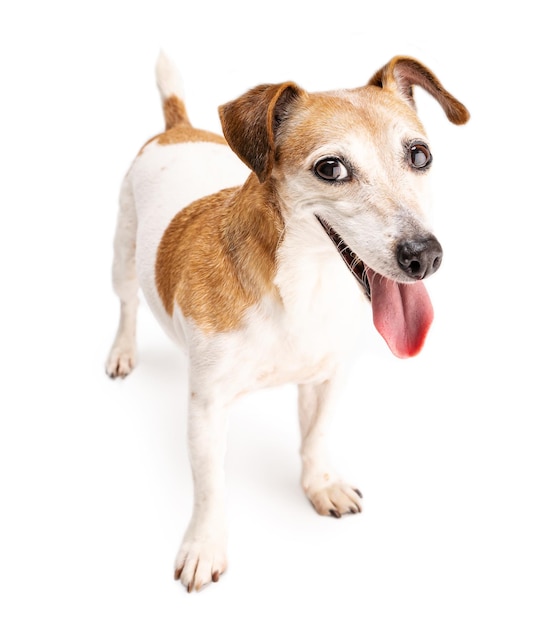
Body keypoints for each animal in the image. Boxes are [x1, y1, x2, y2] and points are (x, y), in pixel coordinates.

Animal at [106, 52, 472, 588]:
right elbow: (209, 484)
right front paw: (204, 546)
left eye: (419, 155)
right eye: (331, 167)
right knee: (128, 303)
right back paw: (122, 352)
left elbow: (316, 436)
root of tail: (178, 127)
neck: (304, 287)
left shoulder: (328, 377)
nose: (424, 256)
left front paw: (321, 486)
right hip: (123, 254)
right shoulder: (207, 407)